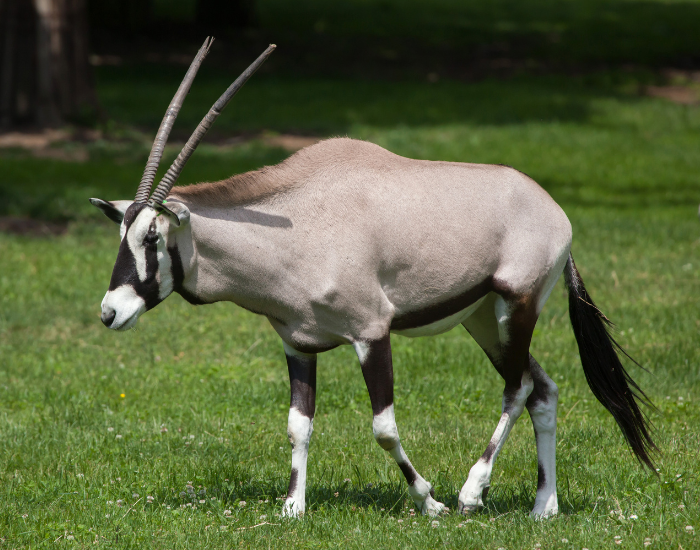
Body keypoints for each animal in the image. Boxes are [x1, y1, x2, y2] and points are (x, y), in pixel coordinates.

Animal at [91, 39, 656, 519]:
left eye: (152, 237)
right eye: (121, 234)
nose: (110, 312)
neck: (296, 223)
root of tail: (553, 210)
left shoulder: (371, 332)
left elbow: (383, 427)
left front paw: (430, 501)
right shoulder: (298, 344)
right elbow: (298, 426)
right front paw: (292, 507)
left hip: (517, 306)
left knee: (516, 389)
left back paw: (472, 492)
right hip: (482, 321)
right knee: (543, 389)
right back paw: (544, 507)